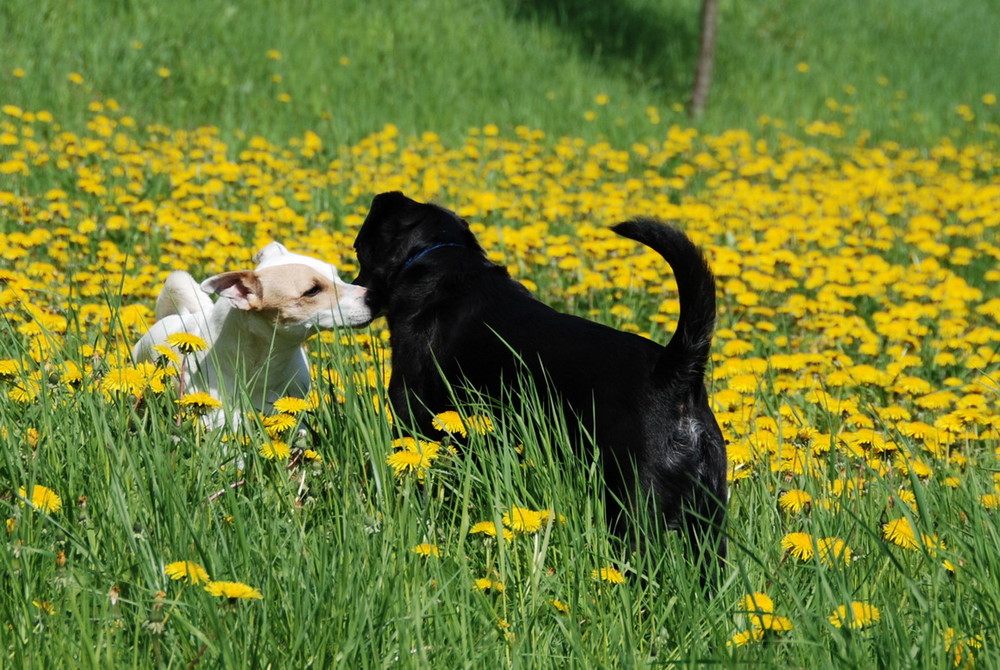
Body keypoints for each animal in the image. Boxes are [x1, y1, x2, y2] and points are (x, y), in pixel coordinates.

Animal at [352, 192, 728, 568]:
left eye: (358, 250)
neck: (438, 260)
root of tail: (674, 372)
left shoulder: (412, 422)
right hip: (709, 521)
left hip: (634, 505)